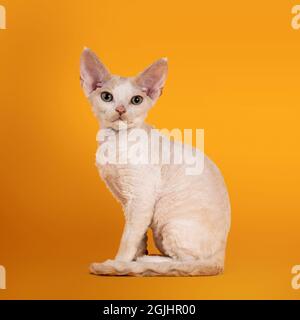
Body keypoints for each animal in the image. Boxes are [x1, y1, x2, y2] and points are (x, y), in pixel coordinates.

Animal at [79, 47, 230, 276]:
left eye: (136, 100)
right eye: (107, 97)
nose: (121, 109)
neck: (114, 142)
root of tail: (222, 255)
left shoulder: (141, 198)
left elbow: (128, 239)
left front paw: (119, 263)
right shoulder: (126, 201)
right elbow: (138, 237)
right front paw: (134, 257)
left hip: (169, 222)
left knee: (187, 262)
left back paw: (149, 261)